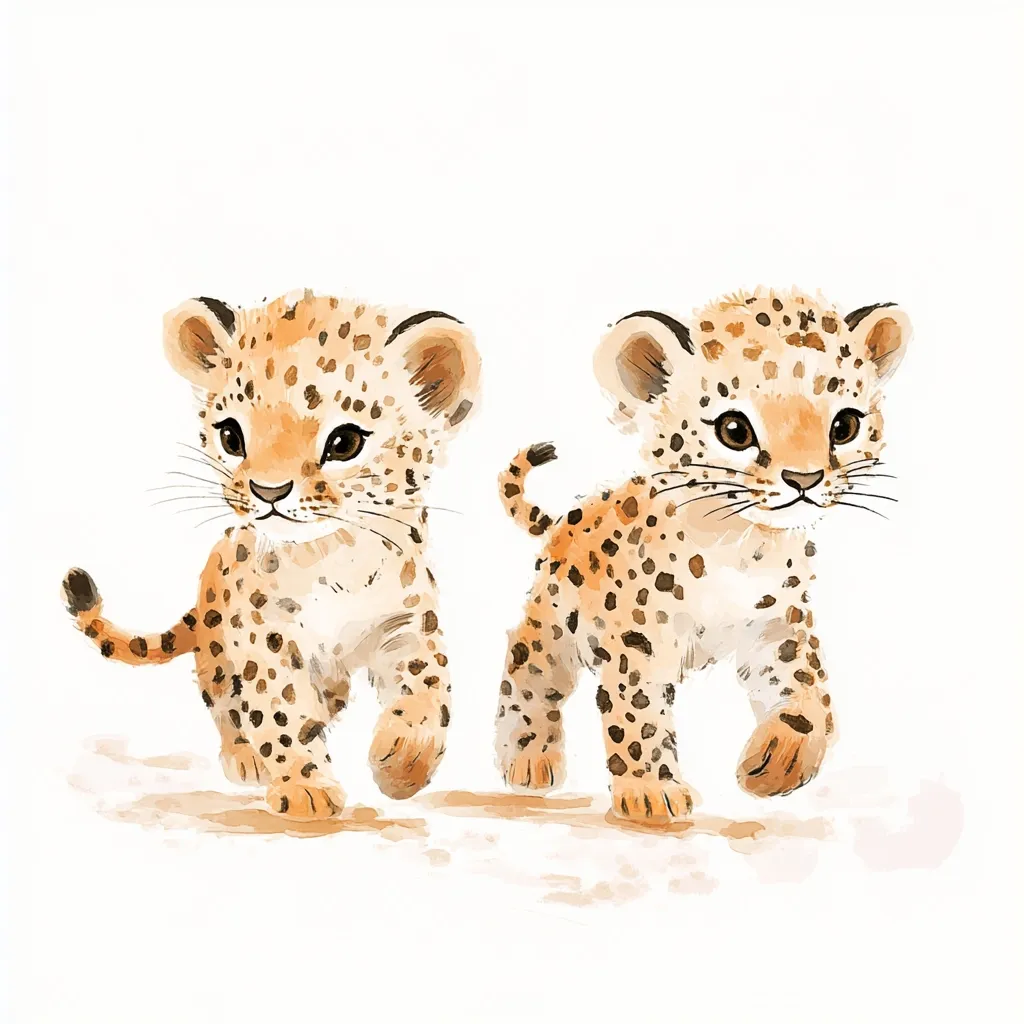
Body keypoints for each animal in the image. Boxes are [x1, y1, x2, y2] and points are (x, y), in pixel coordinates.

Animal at [62, 289, 479, 820]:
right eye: (231, 436)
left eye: (345, 442)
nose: (269, 490)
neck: (333, 557)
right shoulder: (266, 632)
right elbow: (278, 706)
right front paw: (305, 789)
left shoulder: (405, 622)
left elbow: (429, 686)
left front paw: (404, 762)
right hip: (219, 648)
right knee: (224, 700)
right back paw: (246, 760)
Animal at [495, 287, 910, 824]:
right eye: (735, 429)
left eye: (845, 425)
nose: (804, 479)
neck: (739, 546)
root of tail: (570, 516)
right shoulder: (637, 640)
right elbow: (637, 713)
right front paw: (651, 792)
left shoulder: (779, 625)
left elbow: (808, 691)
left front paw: (781, 762)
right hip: (554, 624)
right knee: (529, 672)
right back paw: (527, 759)